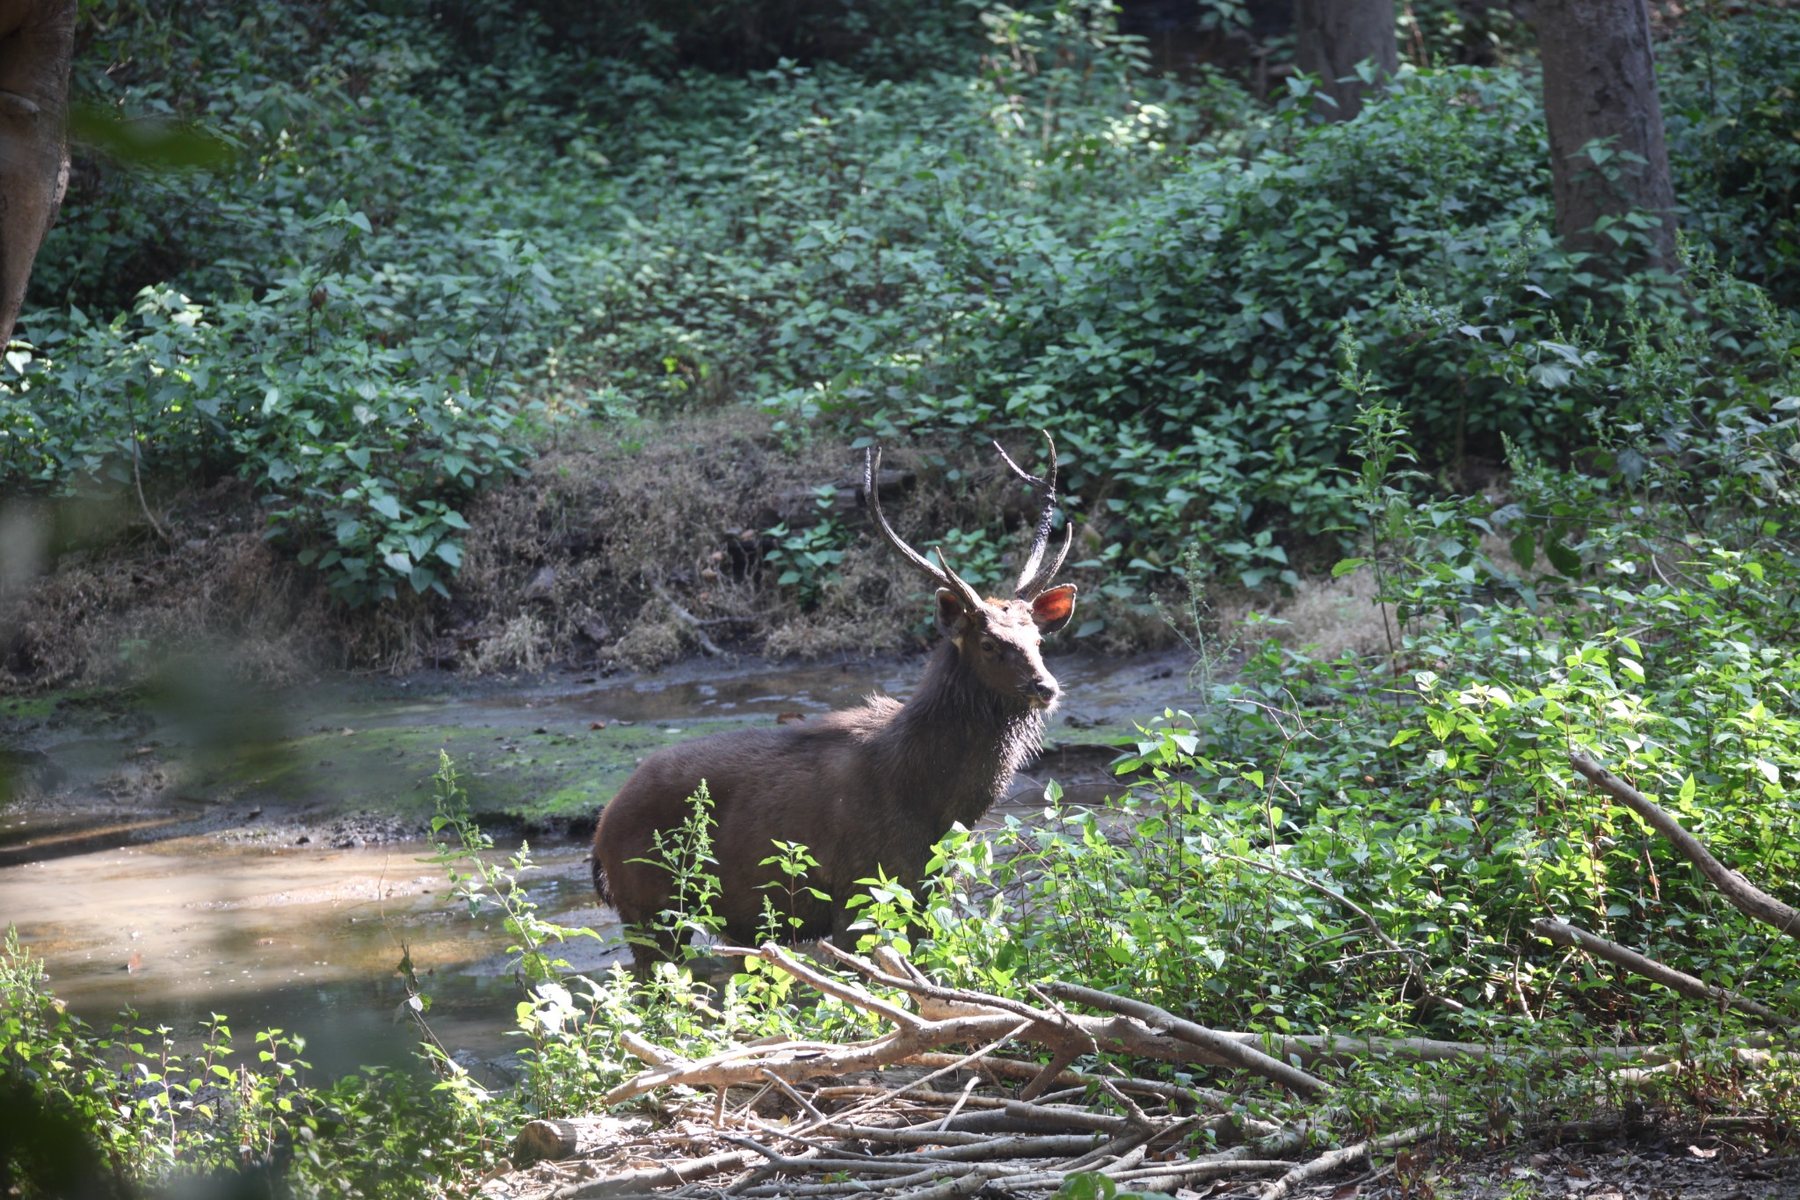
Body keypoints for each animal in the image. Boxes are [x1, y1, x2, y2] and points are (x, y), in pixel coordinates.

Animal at [590, 435, 1078, 972]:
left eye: (1038, 638)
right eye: (989, 643)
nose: (1045, 687)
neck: (935, 799)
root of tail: (599, 833)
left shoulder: (922, 889)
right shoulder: (858, 888)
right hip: (649, 909)